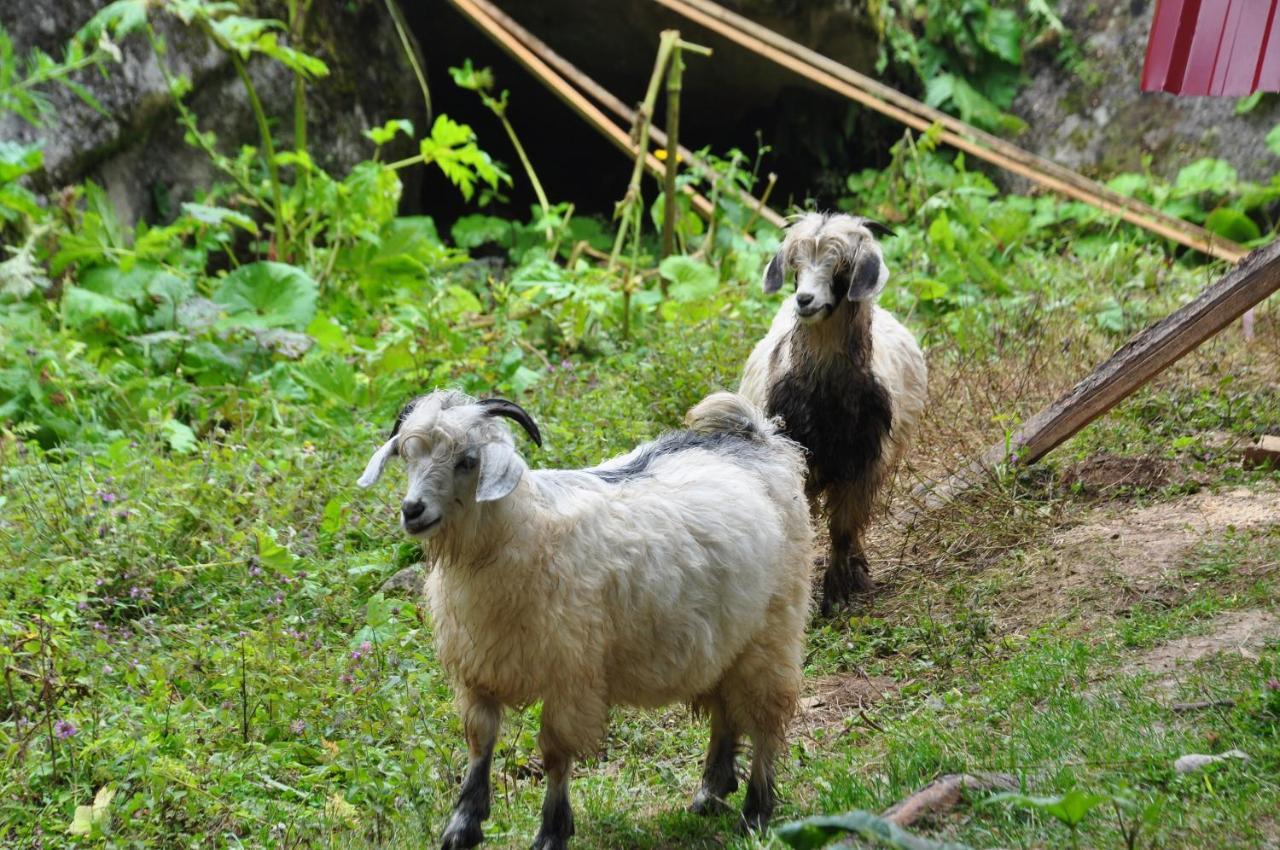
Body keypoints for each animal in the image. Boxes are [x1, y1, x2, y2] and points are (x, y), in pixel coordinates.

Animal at [742, 212, 931, 611]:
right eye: (796, 267)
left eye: (841, 267)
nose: (804, 299)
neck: (825, 394)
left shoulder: (863, 463)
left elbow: (843, 528)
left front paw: (839, 592)